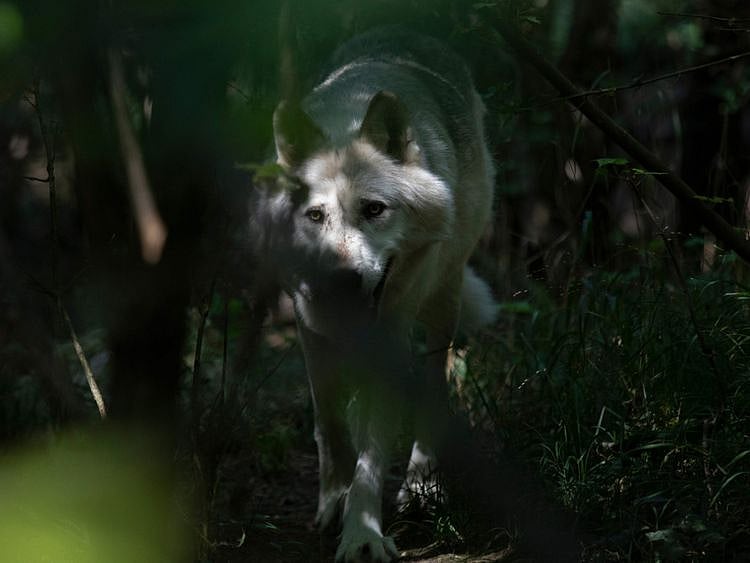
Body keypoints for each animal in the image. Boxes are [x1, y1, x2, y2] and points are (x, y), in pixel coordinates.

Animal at [259, 26, 496, 562]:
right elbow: (329, 421)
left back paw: (423, 486)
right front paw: (334, 501)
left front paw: (362, 533)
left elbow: (373, 448)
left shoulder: (391, 332)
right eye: (315, 215)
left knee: (433, 385)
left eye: (374, 210)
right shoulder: (308, 323)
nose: (342, 279)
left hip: (443, 299)